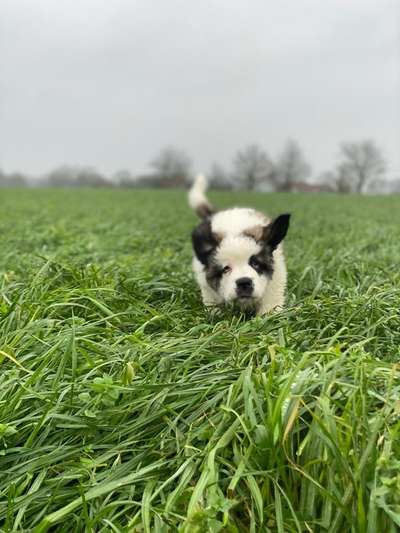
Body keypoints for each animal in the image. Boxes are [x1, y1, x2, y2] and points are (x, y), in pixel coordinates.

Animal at [188, 175, 290, 316]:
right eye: (226, 269)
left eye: (255, 264)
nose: (244, 282)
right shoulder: (207, 285)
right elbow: (213, 303)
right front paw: (217, 315)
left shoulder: (276, 279)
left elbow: (270, 303)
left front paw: (268, 317)